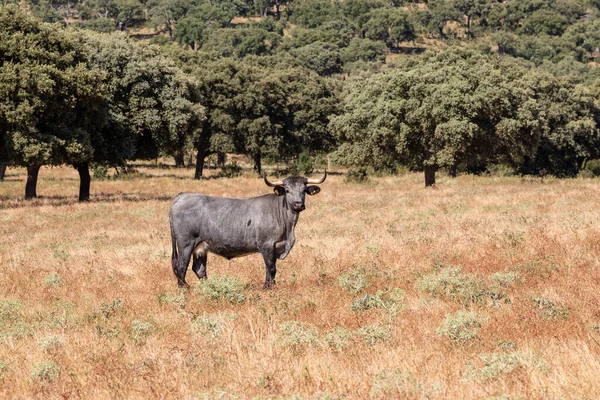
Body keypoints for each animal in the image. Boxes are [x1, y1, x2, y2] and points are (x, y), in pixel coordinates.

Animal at [169, 171, 328, 288]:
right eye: (287, 190)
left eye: (304, 190)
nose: (298, 204)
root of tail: (182, 196)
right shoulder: (267, 246)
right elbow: (271, 268)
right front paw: (268, 287)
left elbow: (272, 269)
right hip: (185, 243)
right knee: (181, 265)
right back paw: (184, 288)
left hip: (201, 246)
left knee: (199, 268)